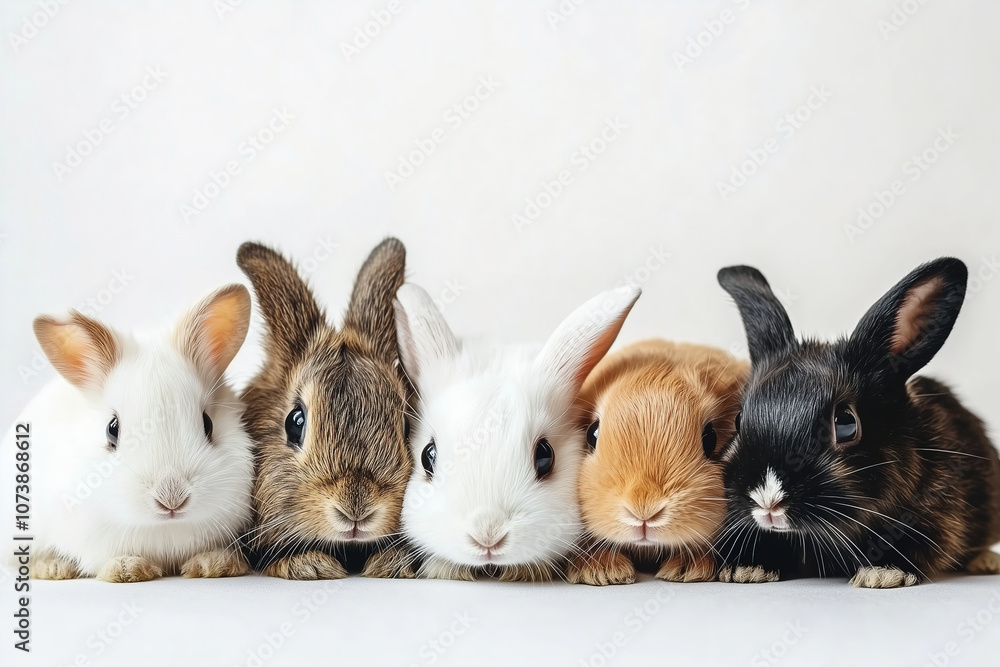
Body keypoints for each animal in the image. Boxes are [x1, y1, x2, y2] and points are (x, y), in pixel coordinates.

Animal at [3, 284, 255, 582]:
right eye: (112, 430)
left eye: (208, 424)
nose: (172, 499)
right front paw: (127, 568)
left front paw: (214, 564)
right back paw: (53, 567)